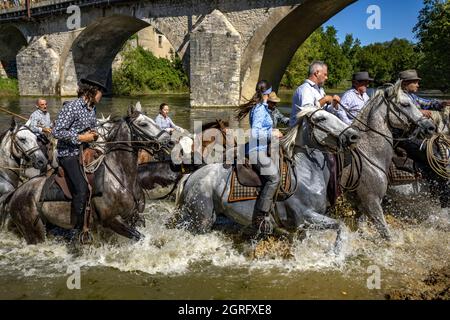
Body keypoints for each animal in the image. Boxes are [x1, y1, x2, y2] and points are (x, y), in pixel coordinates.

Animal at [0, 104, 172, 242]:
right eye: (143, 123)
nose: (169, 141)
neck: (121, 177)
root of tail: (14, 194)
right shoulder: (113, 220)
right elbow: (139, 237)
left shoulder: (135, 216)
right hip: (34, 232)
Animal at [174, 107, 360, 248]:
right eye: (321, 119)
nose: (353, 135)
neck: (306, 173)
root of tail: (192, 175)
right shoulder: (305, 216)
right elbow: (341, 226)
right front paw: (336, 253)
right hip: (201, 219)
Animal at [342, 81, 436, 239]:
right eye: (405, 104)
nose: (431, 127)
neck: (369, 155)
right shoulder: (372, 200)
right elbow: (387, 234)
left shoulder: (364, 204)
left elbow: (363, 228)